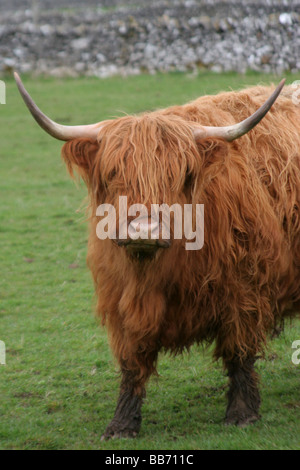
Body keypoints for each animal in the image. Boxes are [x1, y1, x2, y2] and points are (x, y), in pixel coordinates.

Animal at [15, 71, 300, 438]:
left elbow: (239, 353)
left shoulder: (246, 291)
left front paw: (241, 414)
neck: (156, 276)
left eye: (181, 175)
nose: (144, 230)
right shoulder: (120, 300)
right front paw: (121, 424)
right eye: (113, 174)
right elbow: (132, 362)